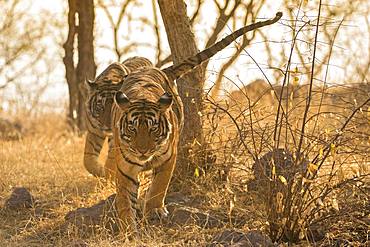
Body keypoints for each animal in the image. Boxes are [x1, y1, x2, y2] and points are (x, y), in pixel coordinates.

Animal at [111, 11, 282, 232]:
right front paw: (128, 229)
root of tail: (160, 69)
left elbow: (159, 186)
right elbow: (125, 199)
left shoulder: (168, 157)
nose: (142, 151)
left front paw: (154, 211)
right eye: (132, 128)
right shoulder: (125, 167)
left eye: (153, 129)